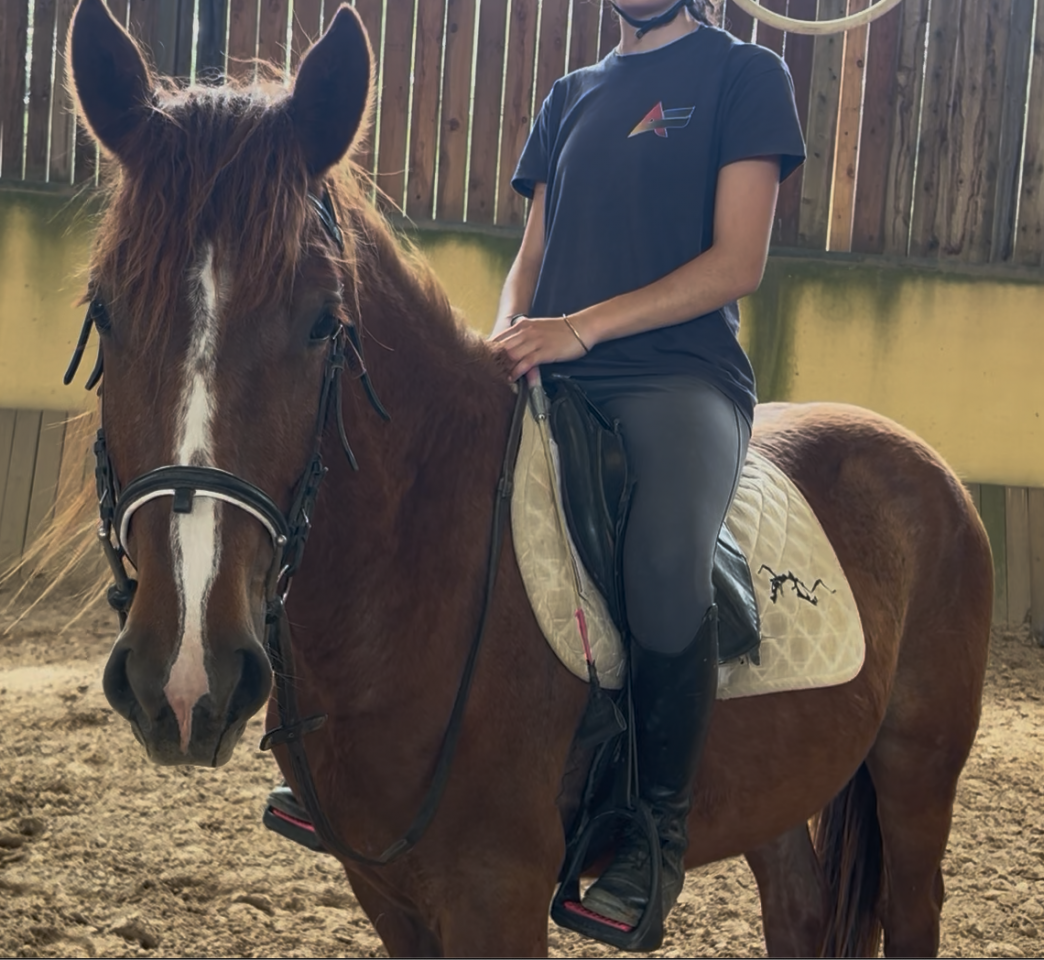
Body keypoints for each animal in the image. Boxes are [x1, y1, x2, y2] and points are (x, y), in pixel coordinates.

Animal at [63, 1, 992, 955]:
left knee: (912, 906)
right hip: (779, 779)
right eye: (106, 311)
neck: (414, 573)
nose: (185, 678)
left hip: (917, 773)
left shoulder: (495, 890)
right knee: (801, 909)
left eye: (324, 323)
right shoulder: (387, 891)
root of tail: (920, 459)